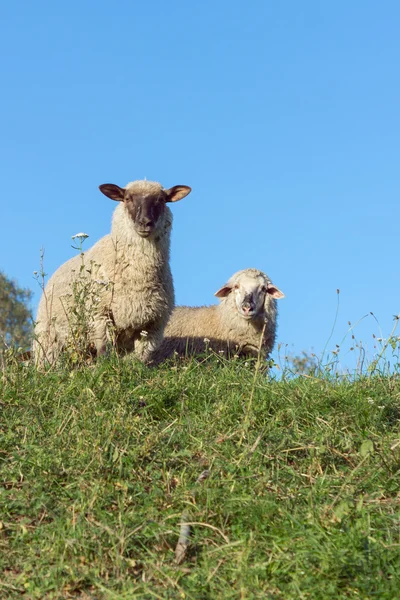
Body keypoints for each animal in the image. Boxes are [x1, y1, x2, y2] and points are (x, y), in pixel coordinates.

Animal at [32, 178, 192, 366]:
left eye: (161, 200)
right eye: (127, 198)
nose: (145, 223)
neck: (138, 277)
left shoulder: (153, 326)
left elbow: (141, 358)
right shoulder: (100, 316)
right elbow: (104, 350)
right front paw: (104, 367)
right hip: (50, 342)